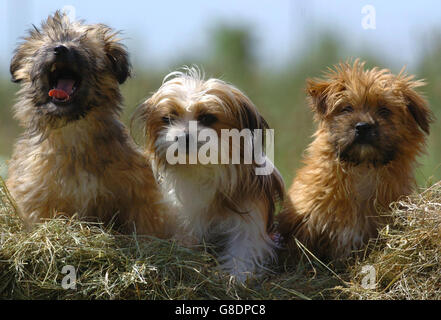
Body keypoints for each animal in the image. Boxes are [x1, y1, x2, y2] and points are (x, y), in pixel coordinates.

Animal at [7, 11, 168, 238]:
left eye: (82, 44)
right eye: (50, 42)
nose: (59, 49)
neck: (73, 130)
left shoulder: (137, 193)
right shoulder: (38, 196)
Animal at [134, 67, 284, 280]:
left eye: (207, 118)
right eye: (168, 119)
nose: (183, 137)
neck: (201, 167)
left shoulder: (250, 217)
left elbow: (244, 248)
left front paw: (237, 277)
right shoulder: (185, 219)